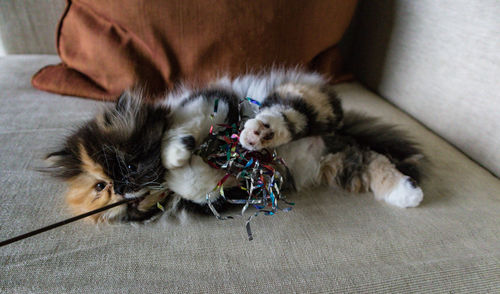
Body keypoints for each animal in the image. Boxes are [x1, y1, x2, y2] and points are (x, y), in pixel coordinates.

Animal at [45, 69, 424, 223]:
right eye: (101, 187)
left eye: (128, 165)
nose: (123, 188)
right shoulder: (225, 193)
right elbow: (196, 184)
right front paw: (182, 160)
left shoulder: (212, 101)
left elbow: (190, 124)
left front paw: (176, 150)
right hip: (339, 161)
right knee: (372, 162)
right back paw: (406, 194)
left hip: (307, 103)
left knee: (287, 115)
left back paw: (256, 134)